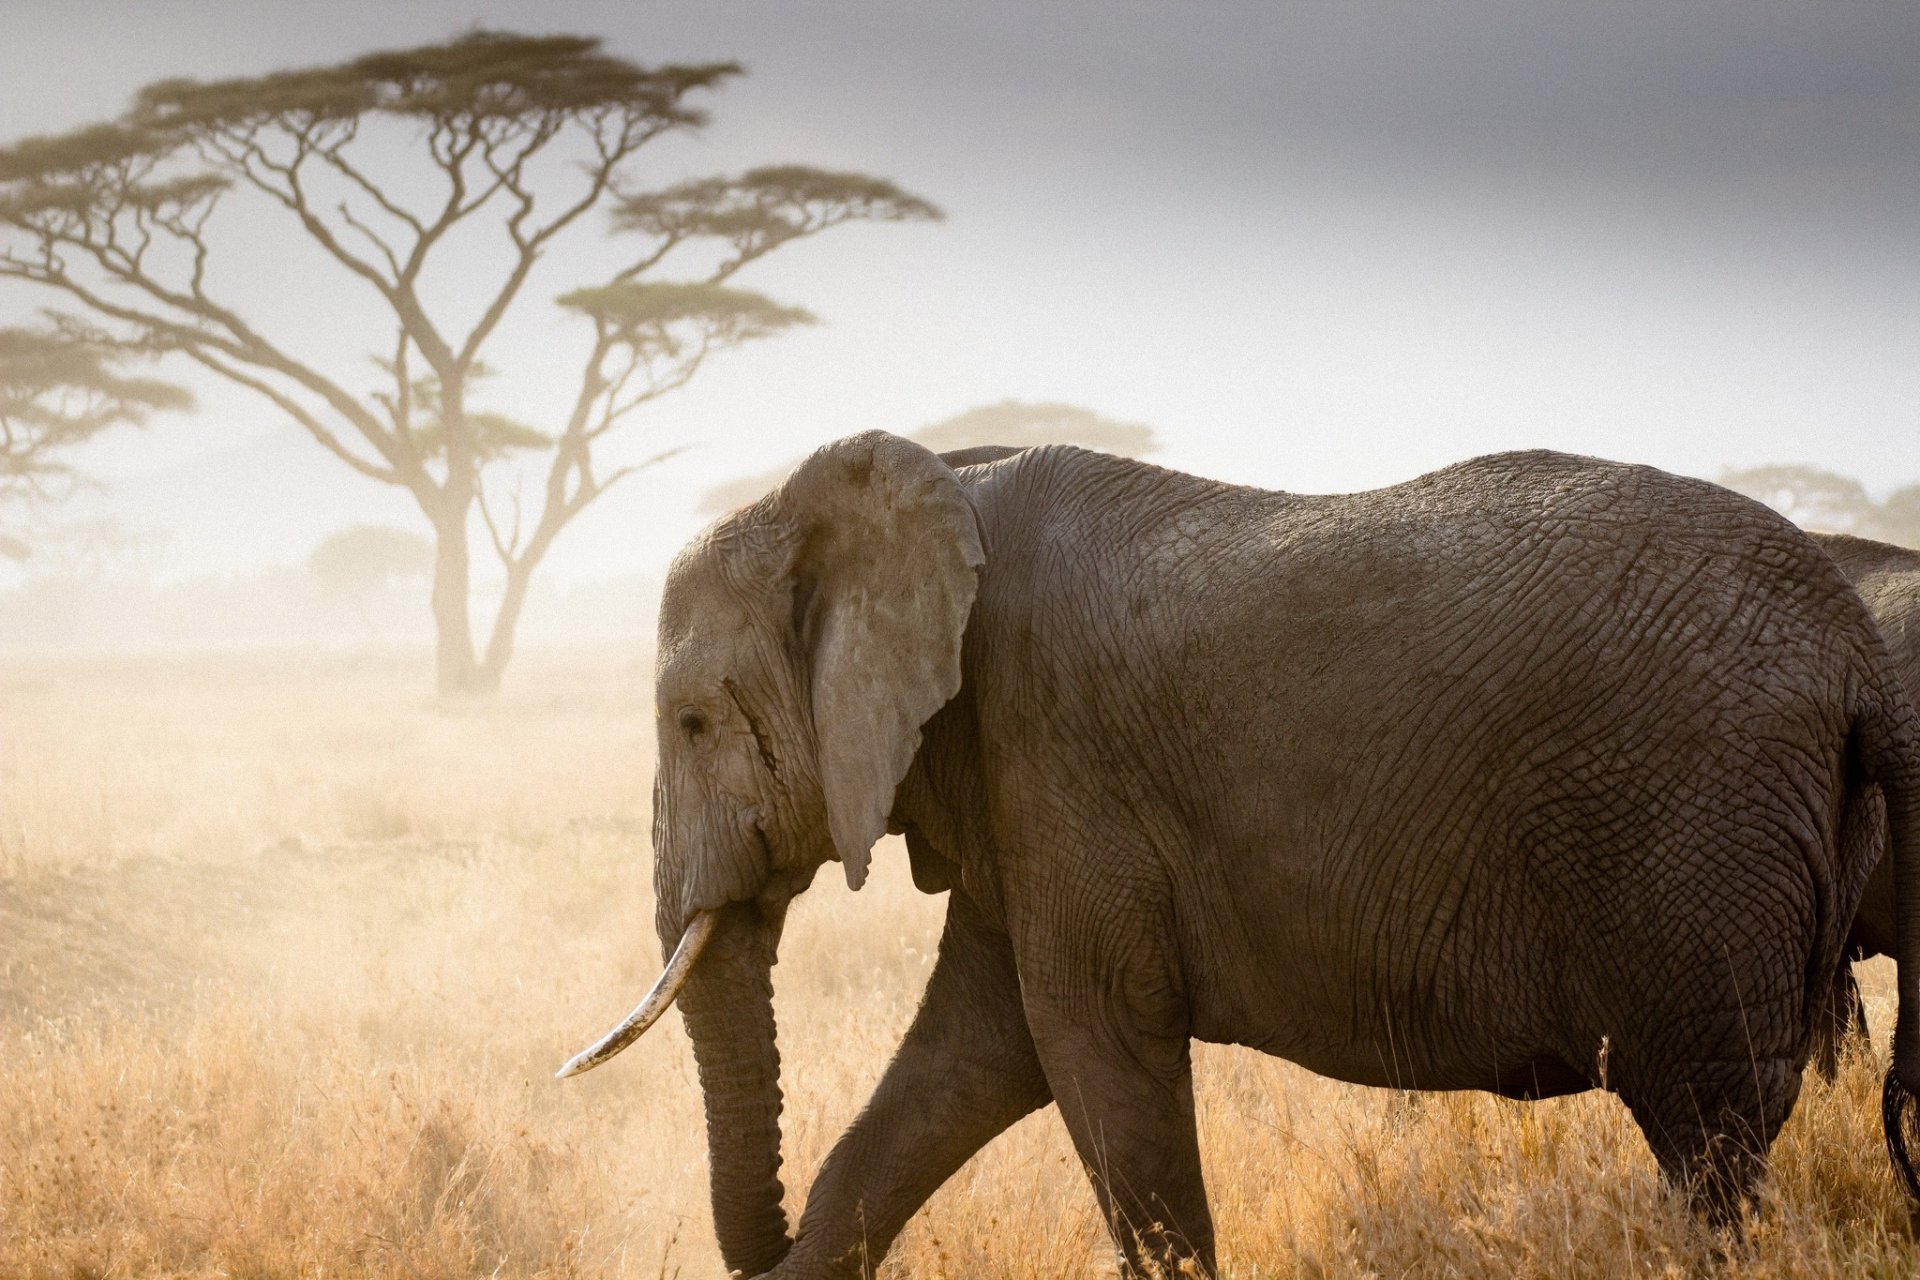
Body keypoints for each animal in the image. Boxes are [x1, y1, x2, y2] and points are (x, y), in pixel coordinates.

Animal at [562, 433, 1920, 1278]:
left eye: (691, 721)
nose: (754, 1233)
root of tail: (1851, 654)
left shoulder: (1059, 759)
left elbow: (1089, 1051)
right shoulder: (1017, 792)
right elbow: (967, 1059)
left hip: (1699, 845)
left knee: (1710, 1144)